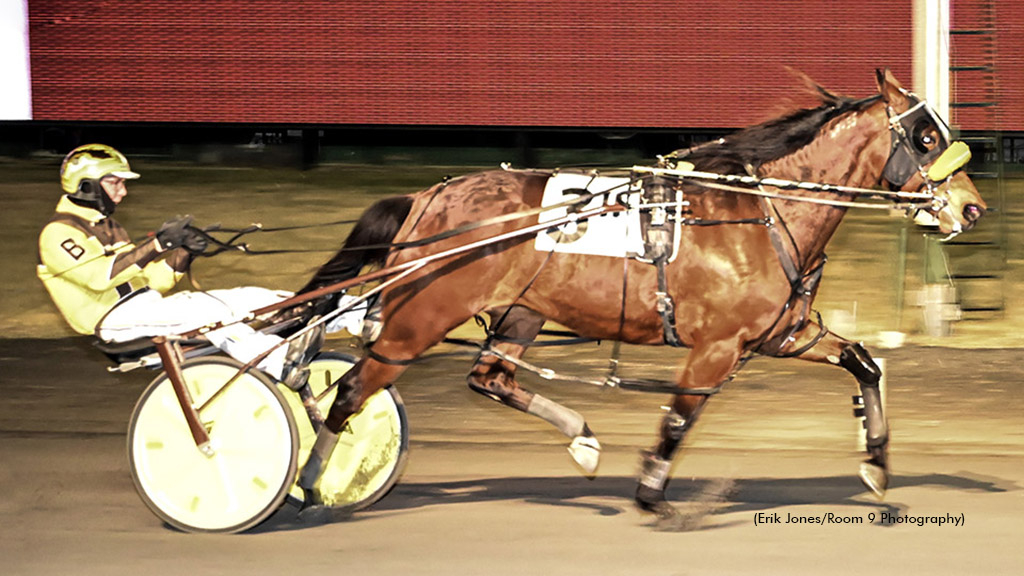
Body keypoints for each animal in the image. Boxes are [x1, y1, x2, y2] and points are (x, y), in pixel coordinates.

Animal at [288, 69, 983, 518]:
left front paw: (877, 464)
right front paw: (651, 491)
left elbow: (865, 363)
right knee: (350, 392)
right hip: (418, 320)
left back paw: (582, 438)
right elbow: (681, 415)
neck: (758, 215)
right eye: (925, 139)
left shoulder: (784, 333)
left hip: (521, 312)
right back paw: (313, 484)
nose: (972, 208)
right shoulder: (718, 347)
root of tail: (427, 197)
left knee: (490, 377)